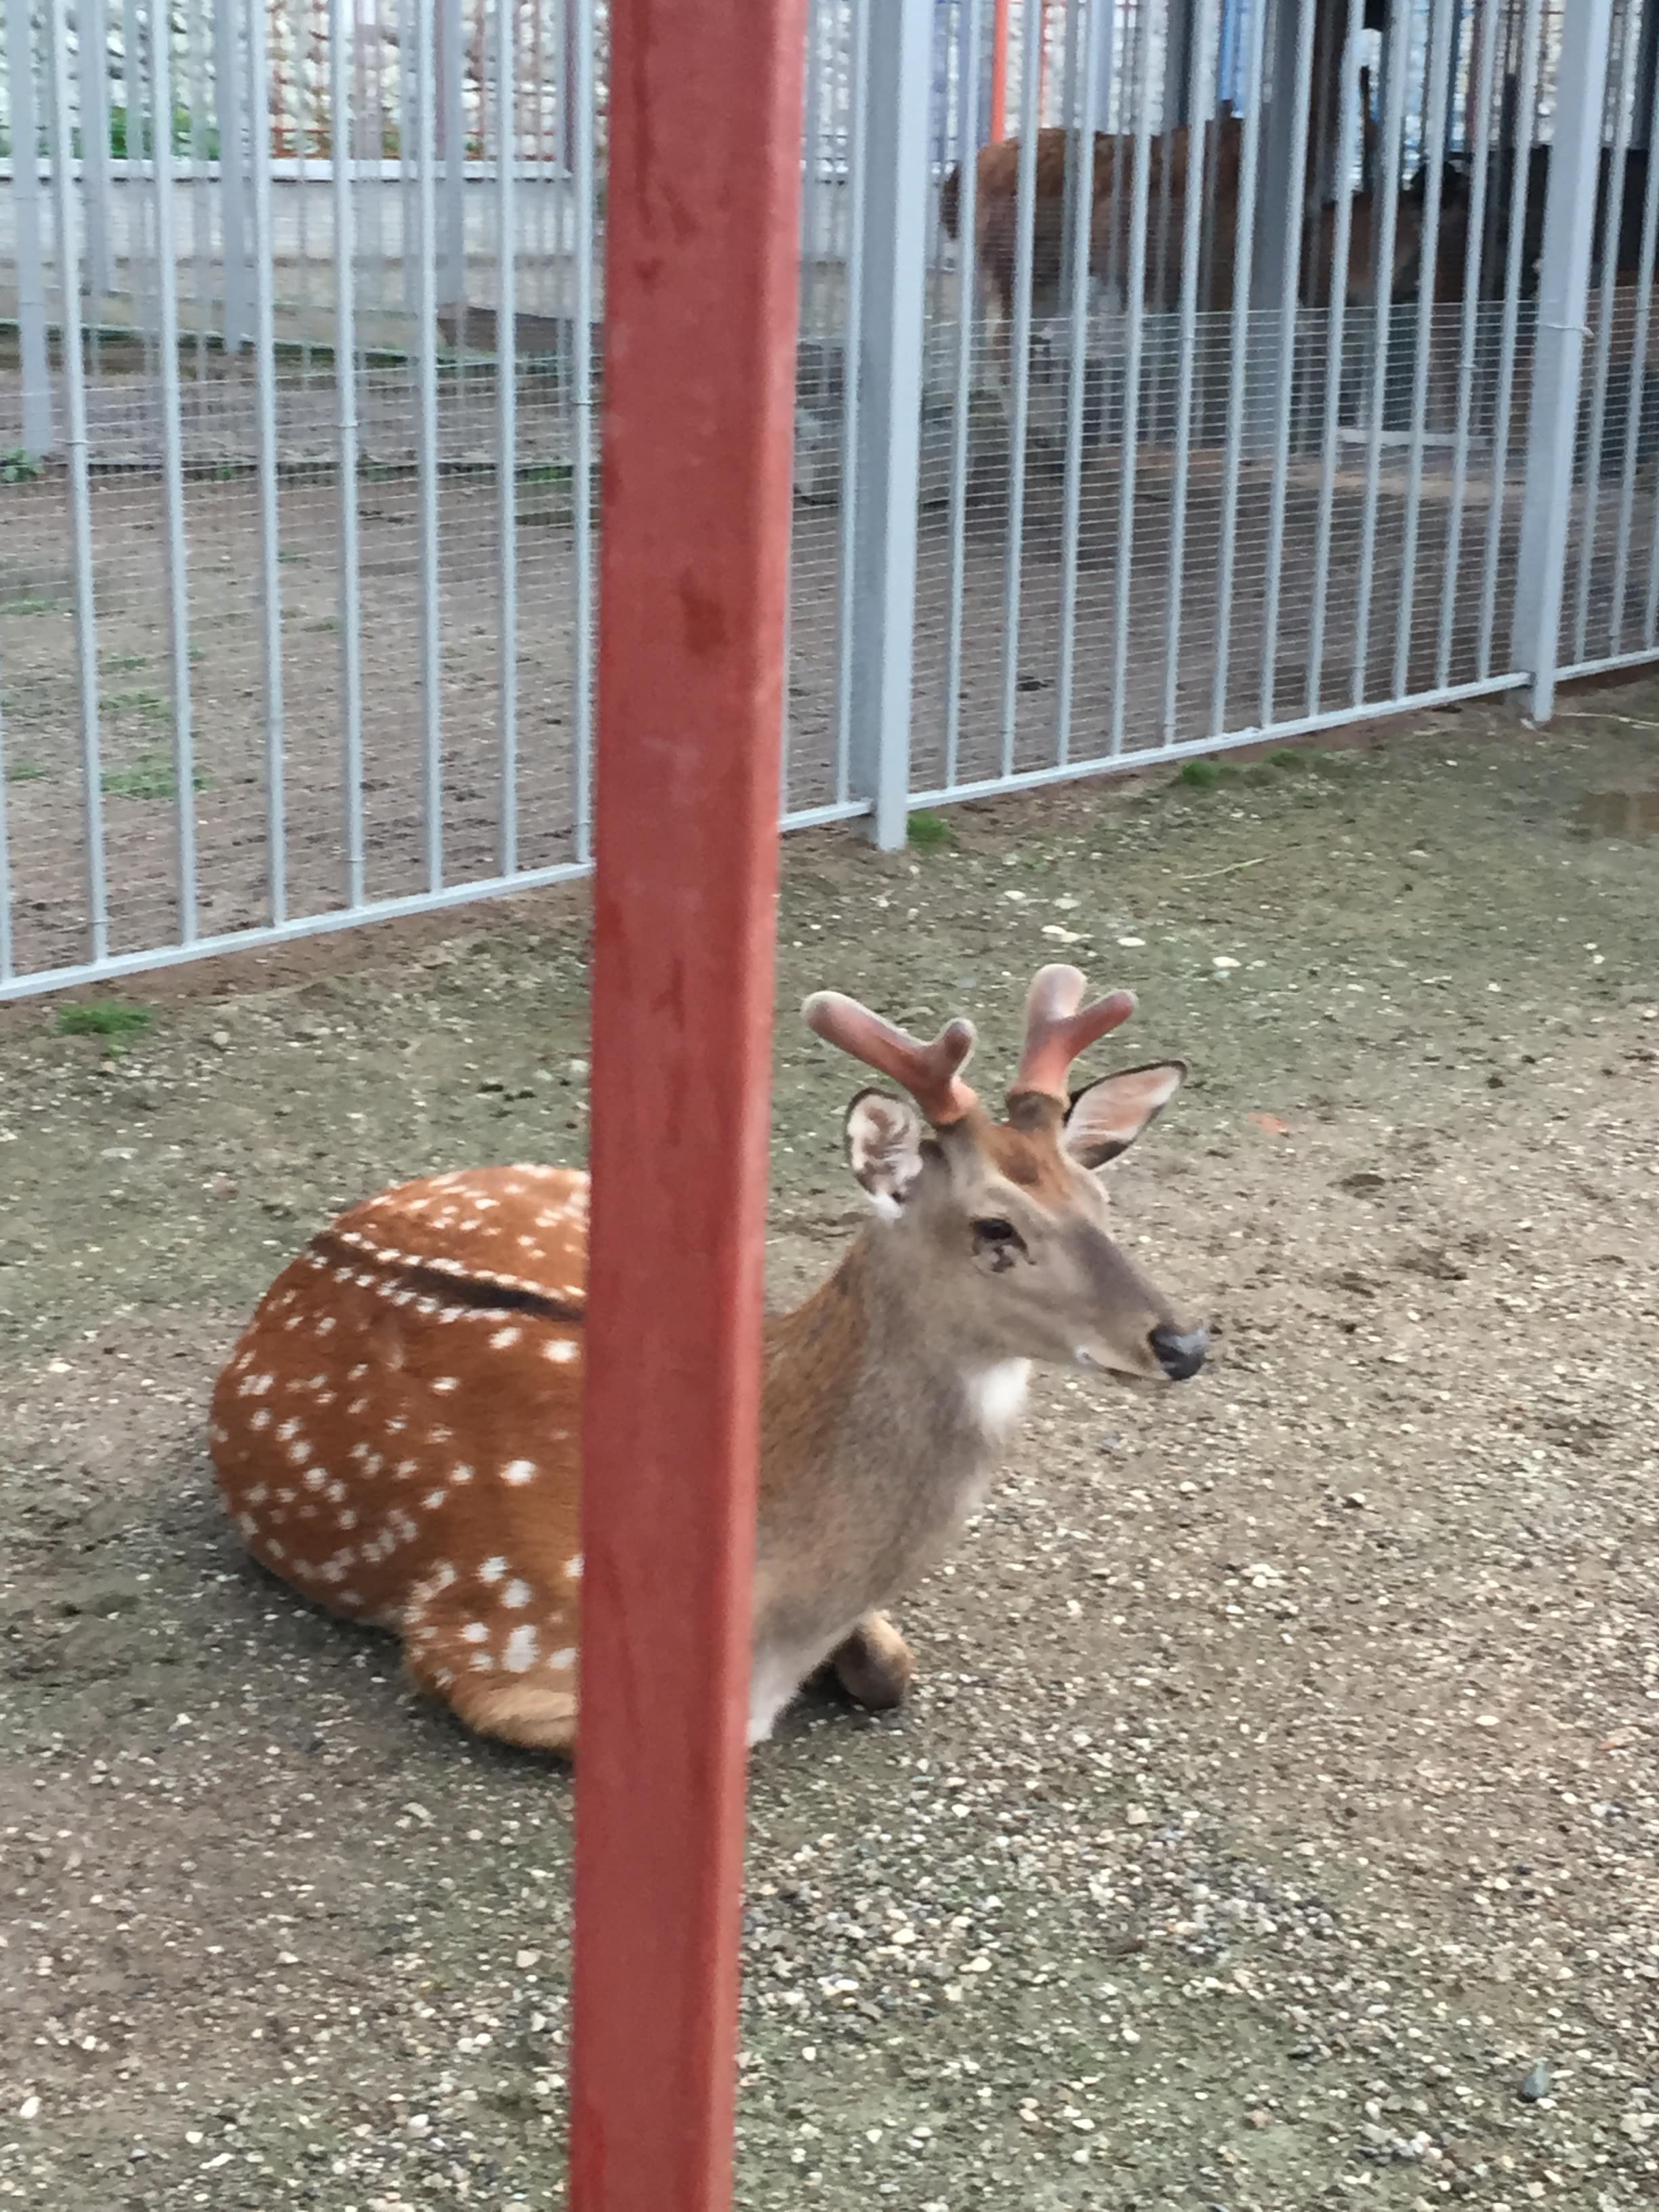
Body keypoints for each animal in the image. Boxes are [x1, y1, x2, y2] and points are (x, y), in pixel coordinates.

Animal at [218, 960, 1212, 1752]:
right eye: (995, 1228)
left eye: (1099, 1198)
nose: (1183, 1341)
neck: (780, 1593)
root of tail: (318, 1240)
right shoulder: (488, 1629)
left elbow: (892, 1669)